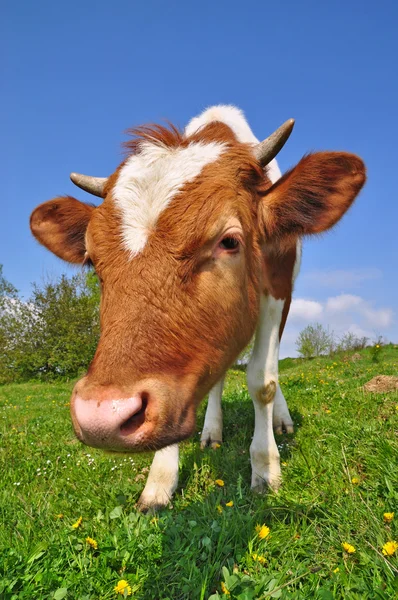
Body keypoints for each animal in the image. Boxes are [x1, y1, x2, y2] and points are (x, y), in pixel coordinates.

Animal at [30, 105, 366, 508]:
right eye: (94, 262)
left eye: (229, 241)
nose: (102, 416)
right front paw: (160, 478)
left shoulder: (277, 289)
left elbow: (263, 381)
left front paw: (265, 467)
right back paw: (211, 431)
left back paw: (280, 421)